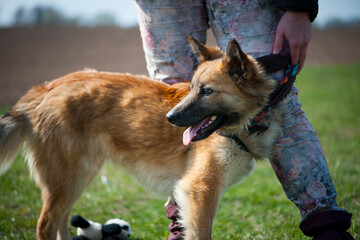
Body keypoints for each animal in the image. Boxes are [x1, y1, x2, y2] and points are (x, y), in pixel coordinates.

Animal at [0, 36, 282, 239]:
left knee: (60, 222)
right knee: (46, 225)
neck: (242, 127)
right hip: (68, 178)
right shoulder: (200, 191)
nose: (170, 117)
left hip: (74, 179)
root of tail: (44, 89)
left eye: (207, 91)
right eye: (192, 88)